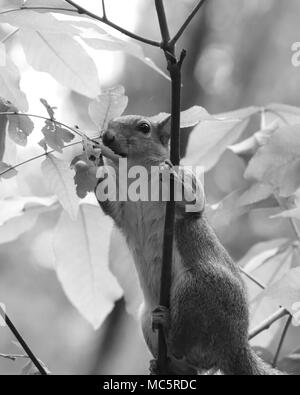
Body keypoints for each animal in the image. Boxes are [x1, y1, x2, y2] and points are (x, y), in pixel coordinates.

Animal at [95, 115, 282, 378]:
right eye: (110, 124)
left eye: (144, 128)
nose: (107, 137)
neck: (138, 179)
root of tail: (236, 345)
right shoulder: (123, 211)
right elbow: (108, 203)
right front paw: (91, 162)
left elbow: (195, 202)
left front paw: (170, 174)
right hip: (146, 317)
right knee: (191, 365)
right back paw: (162, 366)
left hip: (199, 285)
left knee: (188, 348)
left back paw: (169, 330)